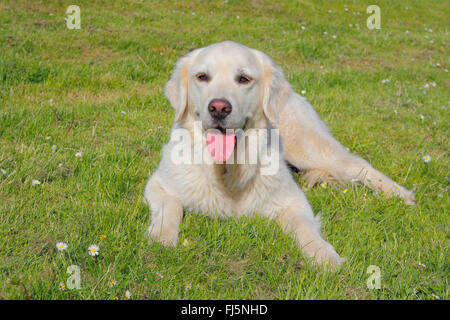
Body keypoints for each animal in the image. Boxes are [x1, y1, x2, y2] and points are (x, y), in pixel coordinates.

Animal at [144, 42, 414, 268]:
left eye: (244, 79)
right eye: (202, 77)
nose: (219, 108)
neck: (228, 170)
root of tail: (294, 93)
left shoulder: (294, 201)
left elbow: (305, 227)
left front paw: (324, 255)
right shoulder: (159, 184)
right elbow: (171, 206)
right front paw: (161, 237)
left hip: (311, 148)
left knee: (358, 165)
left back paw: (401, 195)